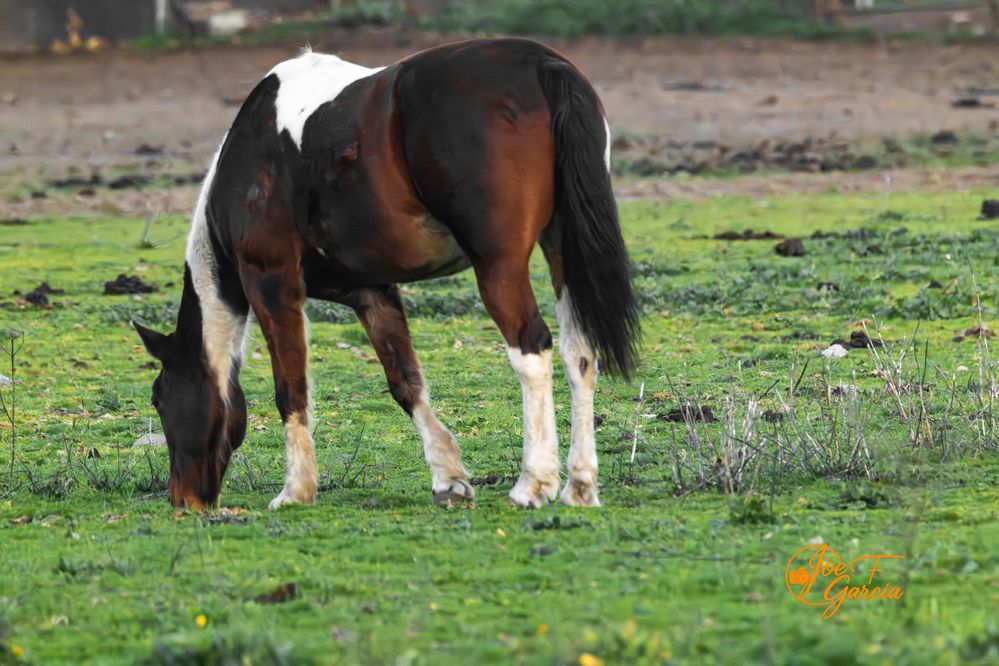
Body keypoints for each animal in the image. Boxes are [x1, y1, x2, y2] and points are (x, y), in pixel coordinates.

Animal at [132, 37, 639, 511]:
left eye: (161, 396)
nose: (183, 500)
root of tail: (541, 63)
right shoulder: (371, 292)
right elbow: (405, 382)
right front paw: (448, 478)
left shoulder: (273, 285)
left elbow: (290, 389)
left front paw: (296, 490)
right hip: (562, 250)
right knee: (579, 353)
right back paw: (579, 485)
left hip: (499, 266)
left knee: (532, 349)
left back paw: (534, 483)